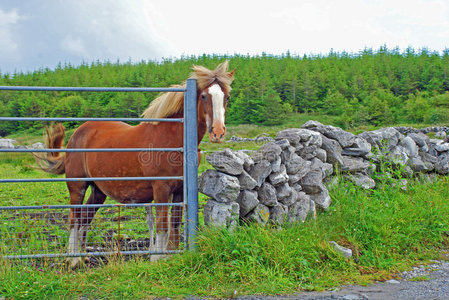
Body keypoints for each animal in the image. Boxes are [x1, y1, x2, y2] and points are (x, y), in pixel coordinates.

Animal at [35, 61, 234, 268]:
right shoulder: (161, 188)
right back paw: (73, 259)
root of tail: (77, 134)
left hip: (98, 191)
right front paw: (157, 258)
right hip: (77, 187)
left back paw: (83, 256)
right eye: (203, 96)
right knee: (74, 218)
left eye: (227, 97)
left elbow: (175, 222)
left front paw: (171, 255)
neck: (173, 138)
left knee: (85, 217)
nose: (218, 132)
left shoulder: (179, 190)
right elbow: (162, 225)